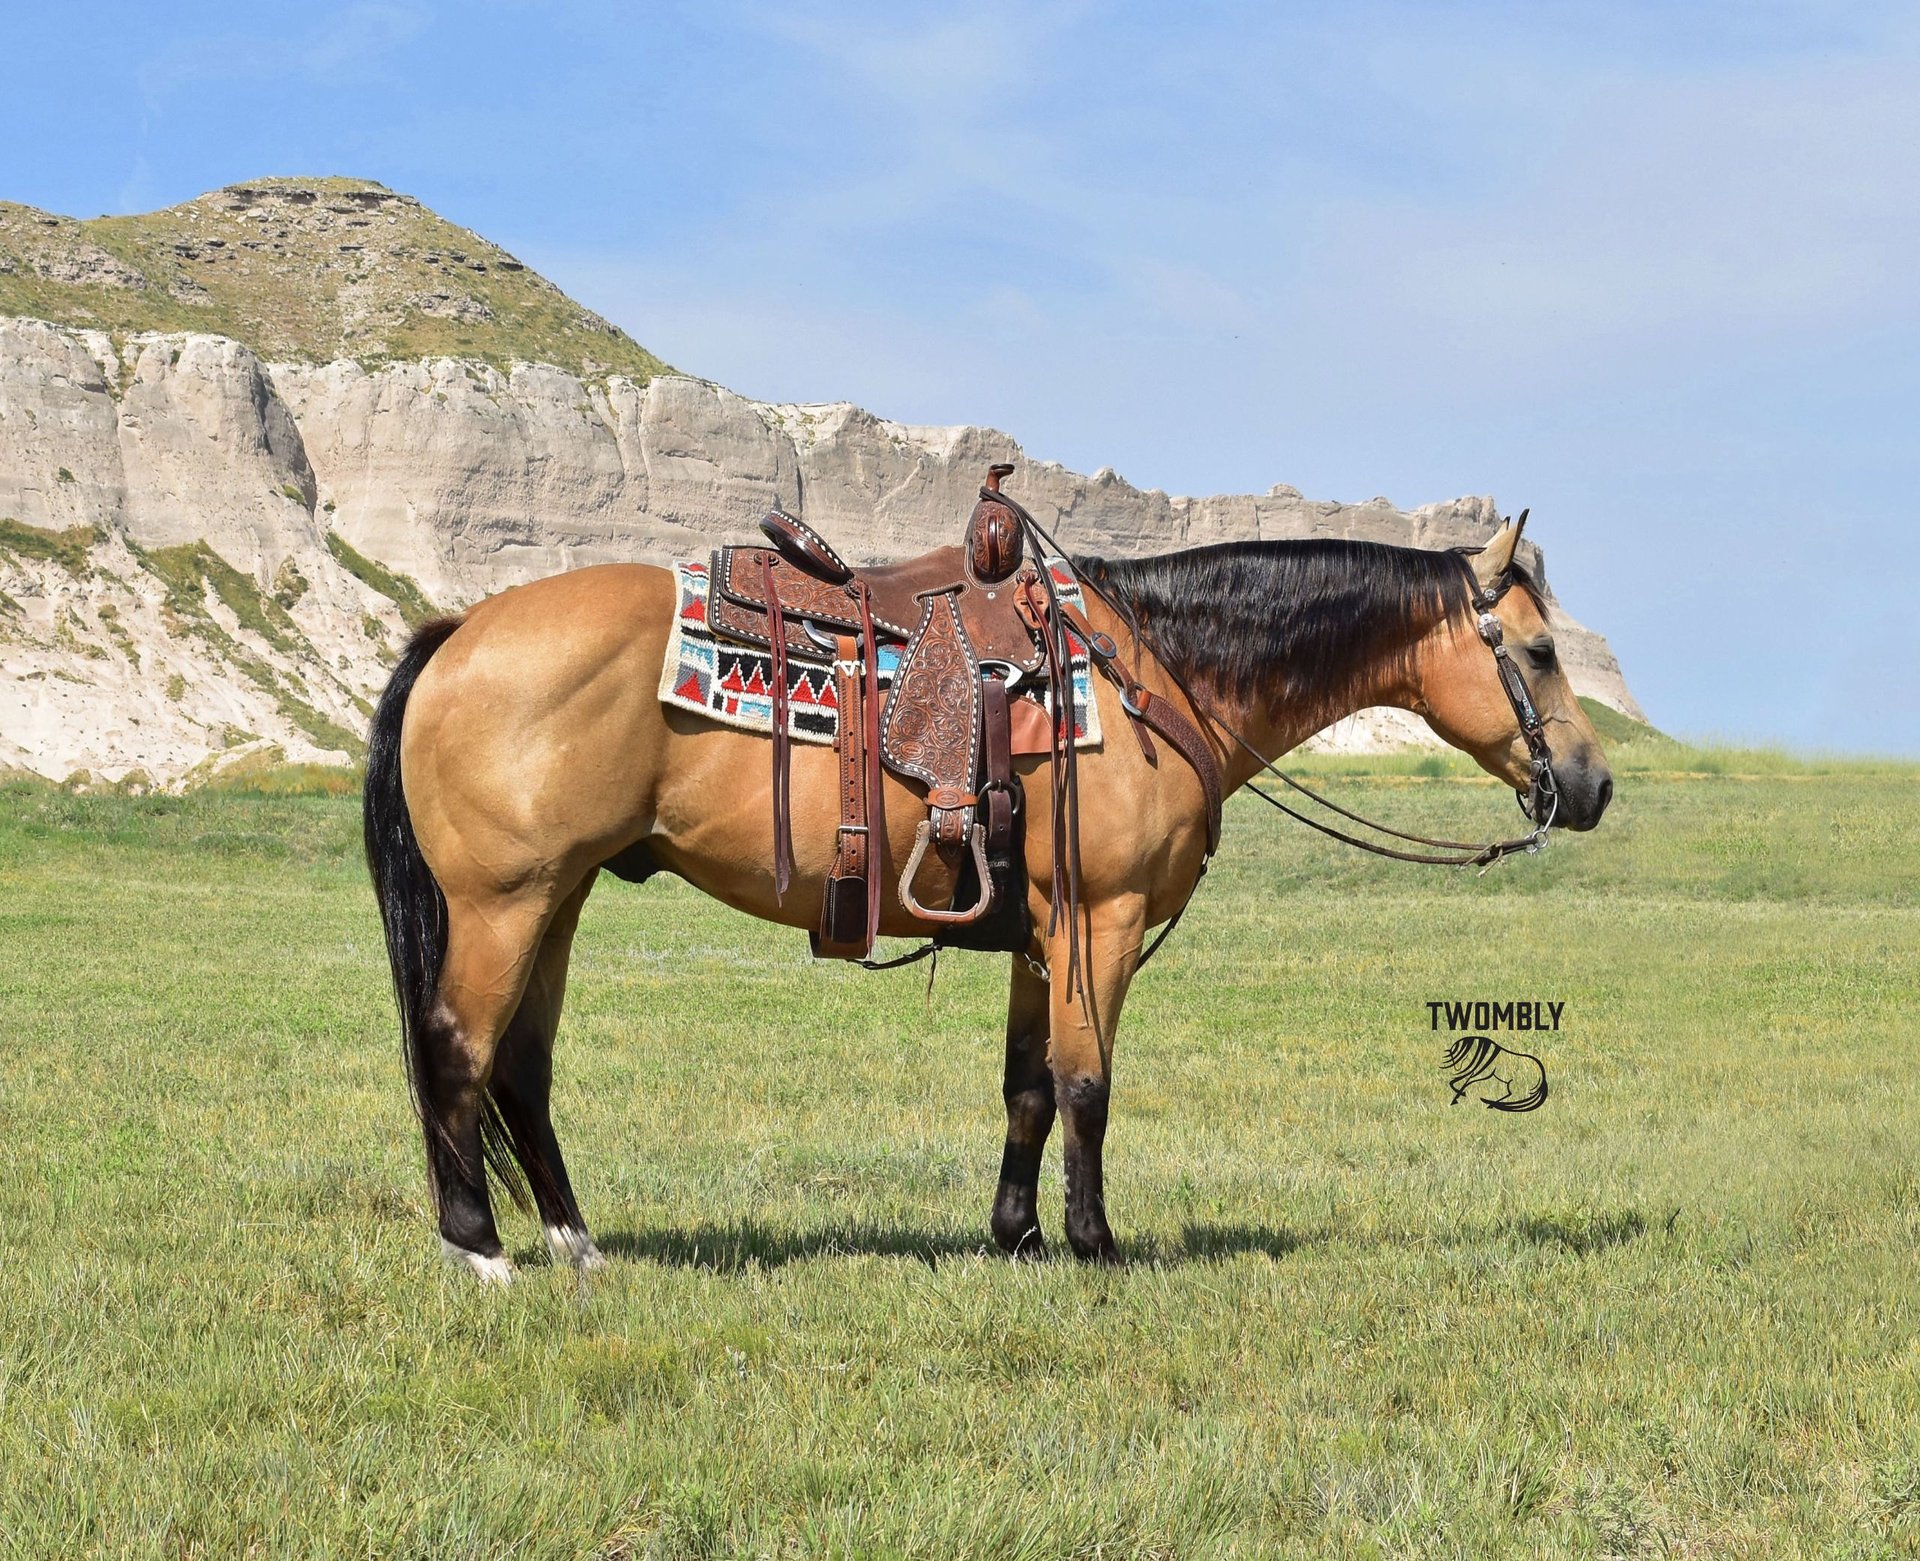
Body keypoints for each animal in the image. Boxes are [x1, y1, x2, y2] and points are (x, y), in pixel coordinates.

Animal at [364, 513, 1613, 1282]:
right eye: (1539, 650)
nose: (1594, 784)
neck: (1155, 667)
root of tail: (459, 630)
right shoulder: (1102, 919)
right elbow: (1087, 1083)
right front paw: (1097, 1243)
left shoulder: (1036, 936)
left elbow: (1026, 1088)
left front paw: (1015, 1236)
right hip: (504, 901)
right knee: (456, 1047)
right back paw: (480, 1248)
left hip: (561, 895)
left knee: (521, 1067)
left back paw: (577, 1245)